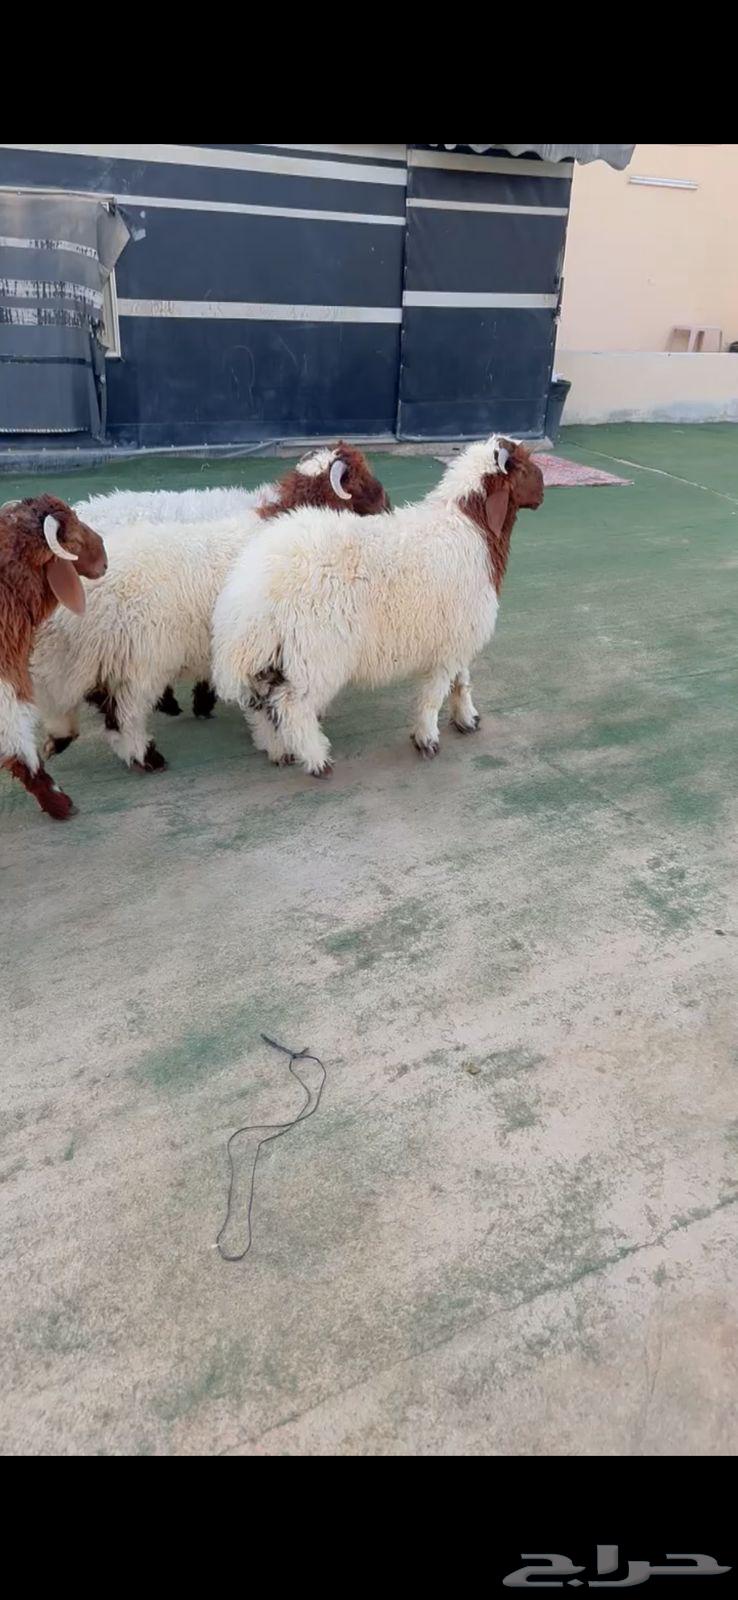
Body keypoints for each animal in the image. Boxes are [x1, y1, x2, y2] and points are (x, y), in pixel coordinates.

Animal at [211, 436, 544, 776]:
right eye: (524, 467)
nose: (543, 491)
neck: (471, 529)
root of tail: (250, 596)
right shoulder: (450, 641)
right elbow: (433, 695)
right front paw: (427, 738)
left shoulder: (456, 635)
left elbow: (460, 681)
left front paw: (467, 719)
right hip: (315, 656)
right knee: (292, 706)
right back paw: (317, 759)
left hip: (270, 657)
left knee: (262, 705)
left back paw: (279, 750)